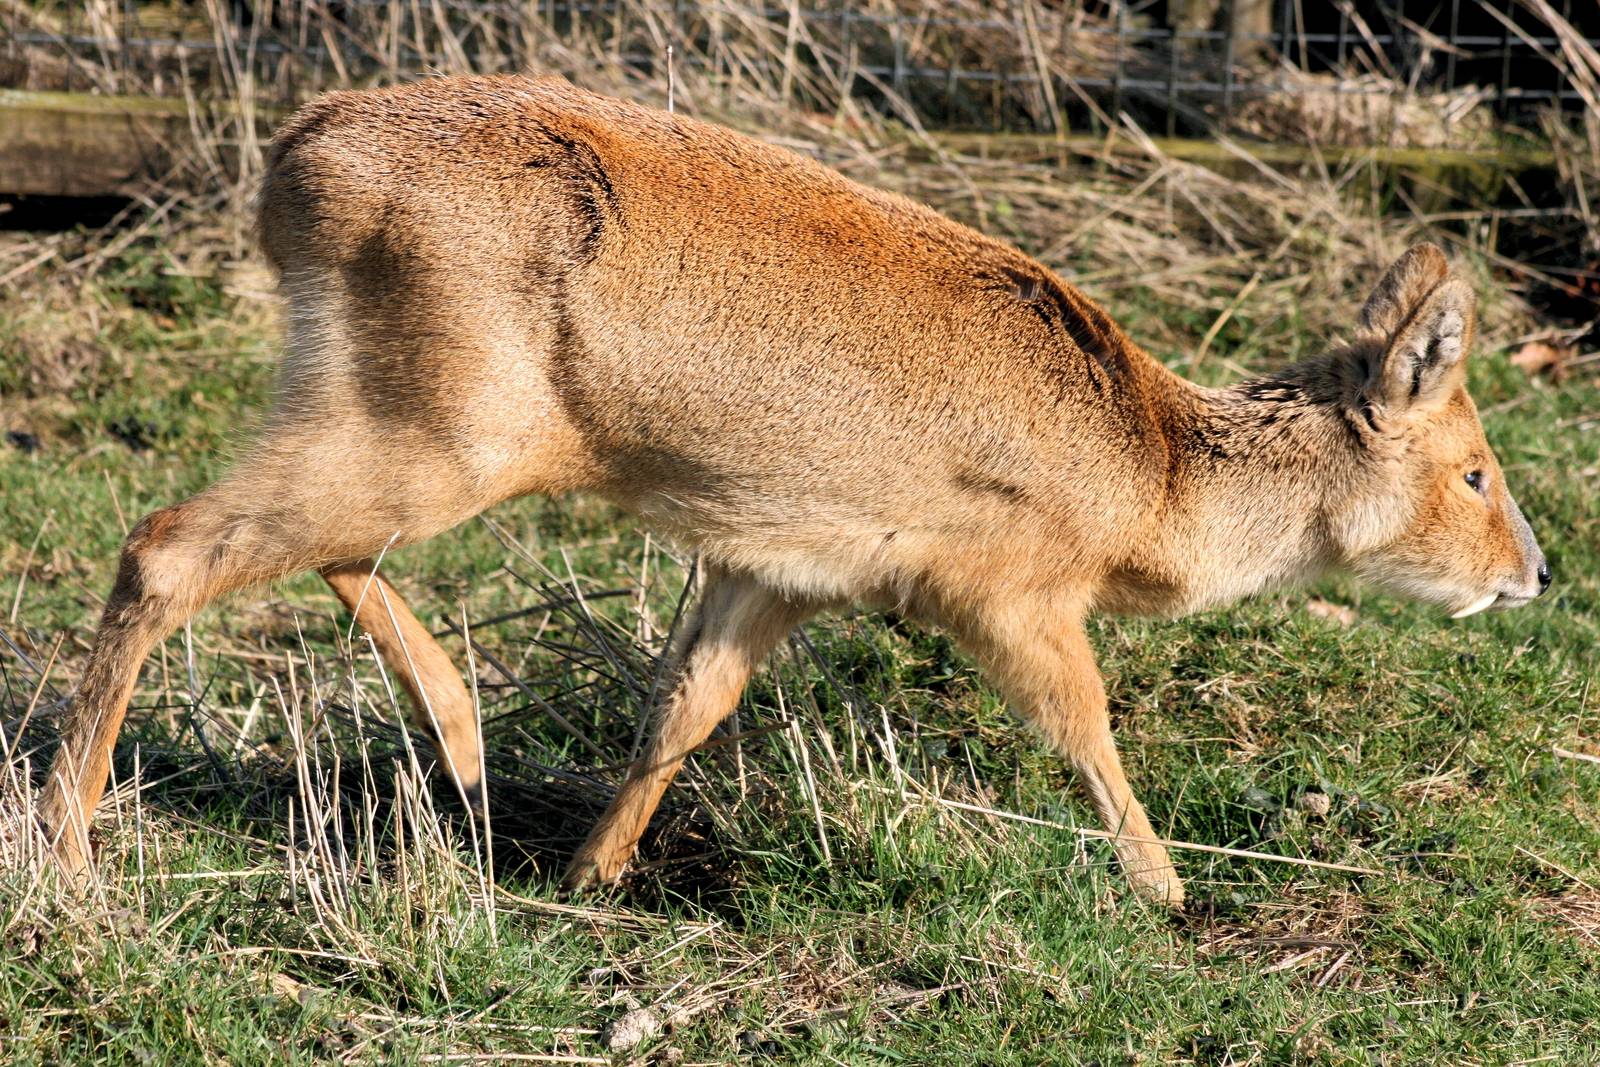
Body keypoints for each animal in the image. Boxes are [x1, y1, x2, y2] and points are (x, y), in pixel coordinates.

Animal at [37, 75, 1550, 908]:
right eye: (1476, 466)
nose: (1533, 571)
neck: (1153, 472)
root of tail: (296, 158)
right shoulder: (1007, 592)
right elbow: (1087, 731)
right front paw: (1174, 892)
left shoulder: (779, 562)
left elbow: (684, 707)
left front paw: (589, 874)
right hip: (443, 429)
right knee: (167, 544)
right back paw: (65, 852)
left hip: (389, 412)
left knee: (275, 544)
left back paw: (458, 746)